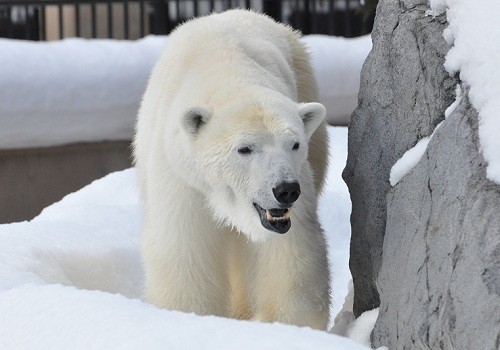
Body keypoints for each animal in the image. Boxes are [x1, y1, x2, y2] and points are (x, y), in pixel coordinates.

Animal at [133, 8, 330, 330]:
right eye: (245, 148)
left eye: (294, 144)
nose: (286, 190)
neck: (228, 68)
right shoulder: (182, 179)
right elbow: (184, 252)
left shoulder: (299, 185)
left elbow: (288, 256)